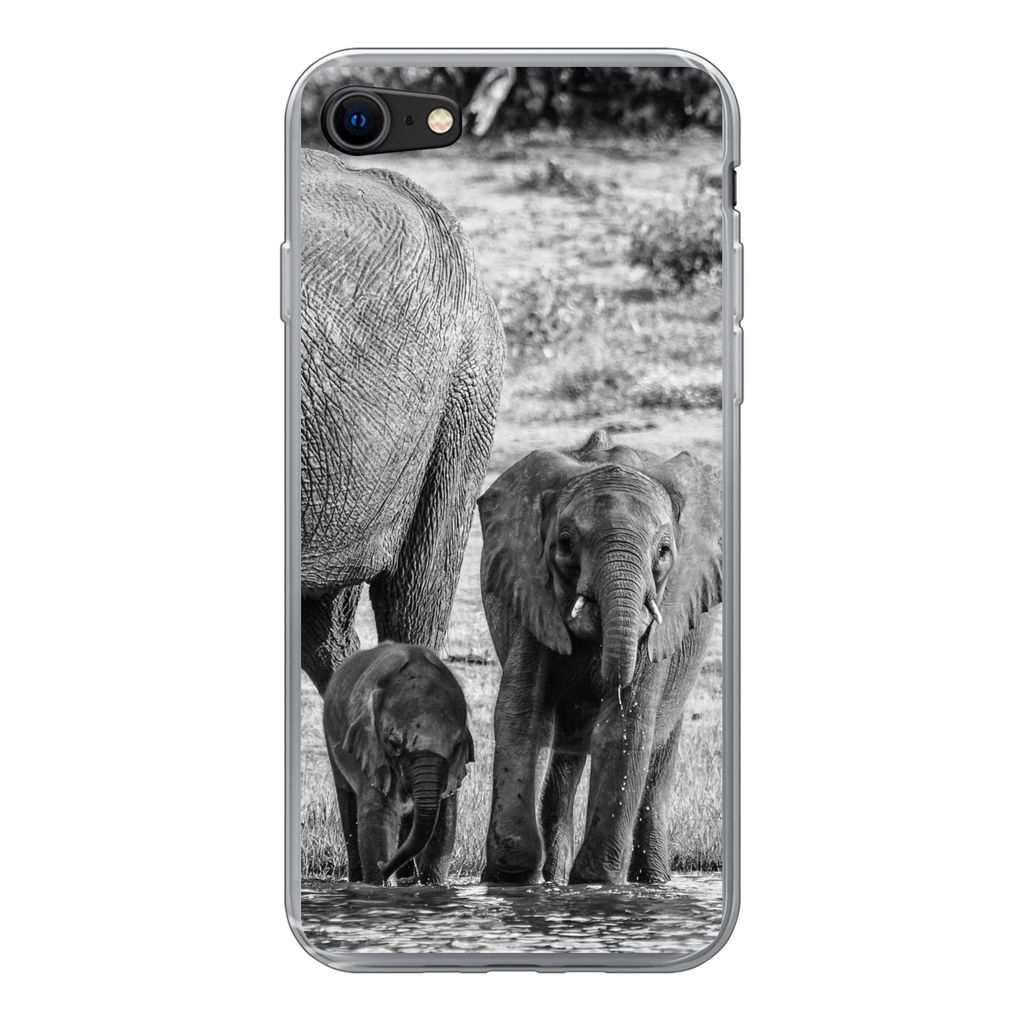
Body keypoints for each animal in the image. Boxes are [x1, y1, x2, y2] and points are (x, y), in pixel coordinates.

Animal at [323, 642, 475, 885]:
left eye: (456, 745)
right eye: (393, 744)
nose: (382, 865)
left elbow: (445, 818)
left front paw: (433, 885)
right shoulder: (372, 749)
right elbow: (380, 814)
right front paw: (382, 884)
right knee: (347, 799)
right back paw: (357, 880)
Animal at [478, 430, 722, 885]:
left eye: (664, 551)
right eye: (565, 544)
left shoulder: (662, 613)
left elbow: (625, 724)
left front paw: (596, 881)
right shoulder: (531, 591)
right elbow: (522, 712)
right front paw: (512, 876)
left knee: (658, 750)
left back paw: (652, 883)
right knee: (563, 754)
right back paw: (553, 879)